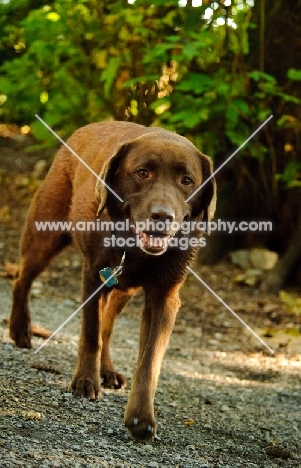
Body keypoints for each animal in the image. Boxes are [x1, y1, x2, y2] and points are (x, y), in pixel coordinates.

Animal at [9, 119, 216, 438]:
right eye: (142, 173)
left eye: (187, 180)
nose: (163, 215)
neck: (135, 249)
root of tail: (87, 127)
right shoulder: (93, 275)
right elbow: (90, 333)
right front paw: (85, 381)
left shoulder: (165, 296)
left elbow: (149, 359)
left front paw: (141, 416)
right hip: (44, 235)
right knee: (22, 278)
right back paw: (20, 329)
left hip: (123, 288)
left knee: (108, 323)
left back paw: (106, 370)